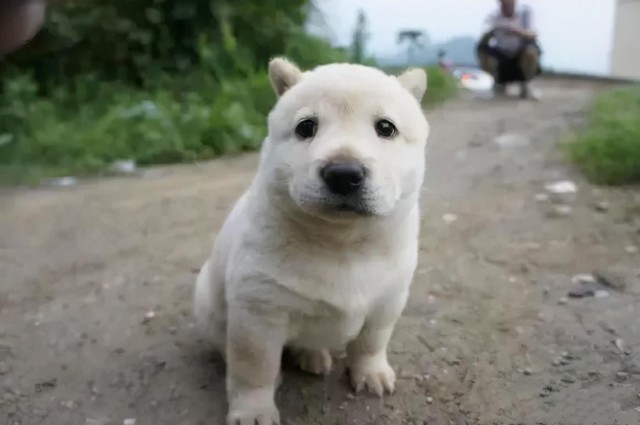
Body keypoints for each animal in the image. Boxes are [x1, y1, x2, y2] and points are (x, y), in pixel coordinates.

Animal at [195, 57, 430, 424]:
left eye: (386, 127)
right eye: (306, 127)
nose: (344, 174)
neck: (342, 244)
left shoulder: (389, 297)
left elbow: (372, 341)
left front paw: (371, 373)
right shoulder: (258, 310)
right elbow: (254, 366)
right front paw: (253, 410)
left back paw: (313, 356)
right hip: (207, 300)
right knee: (224, 343)